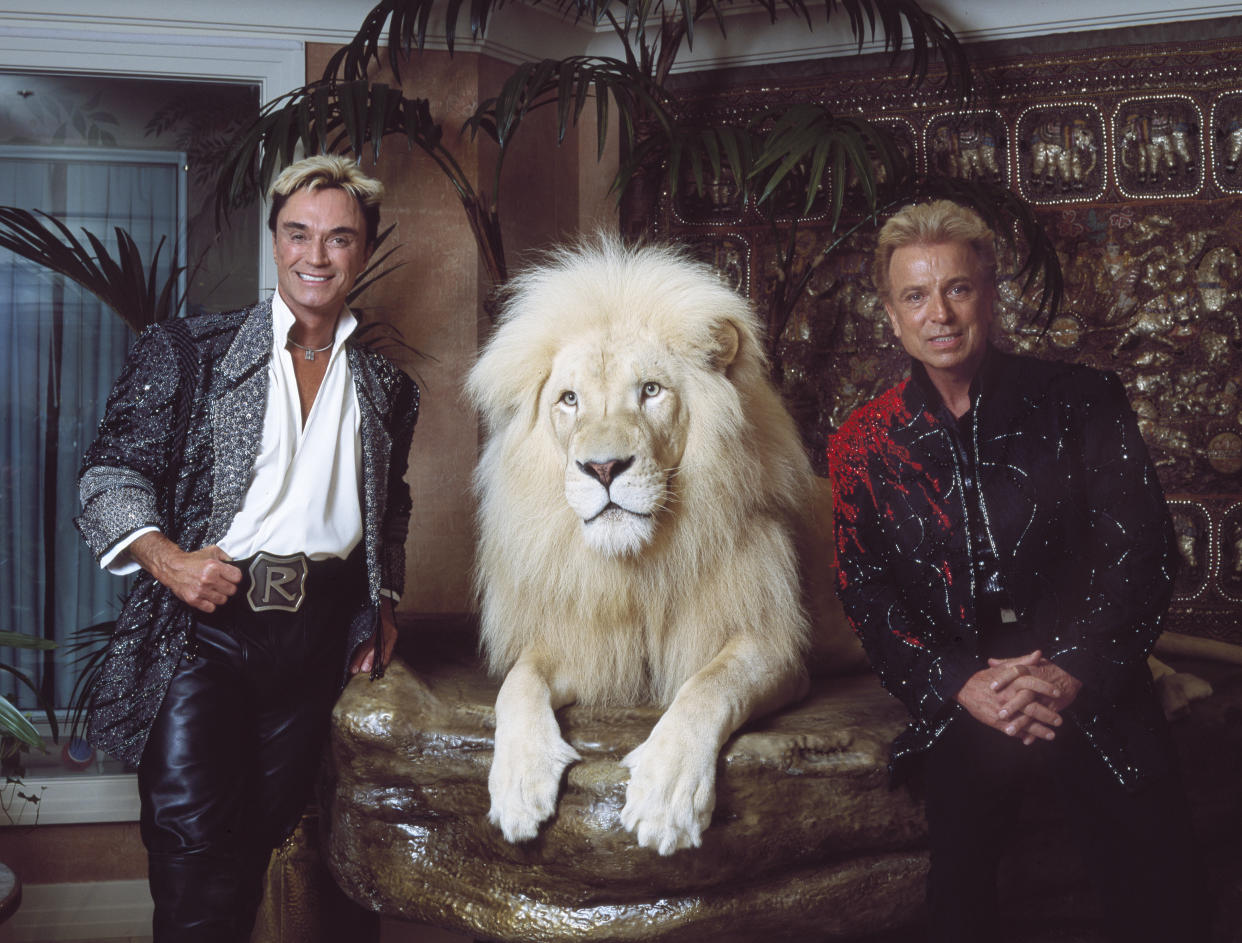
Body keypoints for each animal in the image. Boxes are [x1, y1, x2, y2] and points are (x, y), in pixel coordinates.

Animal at [469, 236, 859, 854]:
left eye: (650, 391)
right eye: (569, 400)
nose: (603, 468)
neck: (638, 561)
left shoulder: (775, 648)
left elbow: (707, 687)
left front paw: (666, 795)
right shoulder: (589, 648)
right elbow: (518, 684)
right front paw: (518, 786)